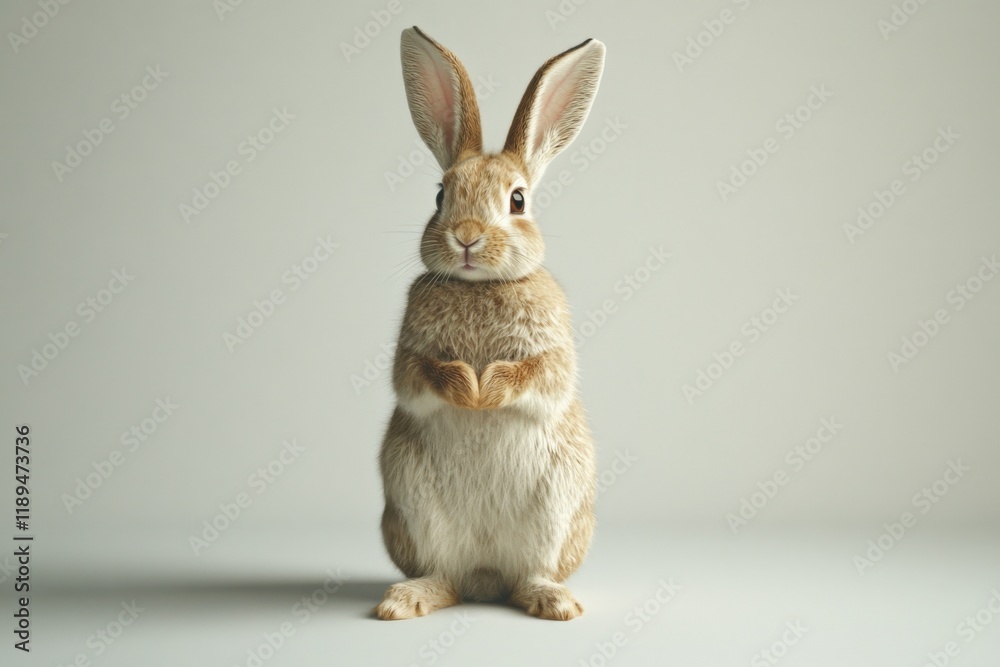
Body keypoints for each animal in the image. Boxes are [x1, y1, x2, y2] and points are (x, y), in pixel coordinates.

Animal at [376, 26, 605, 621]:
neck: (479, 286)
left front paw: (488, 391)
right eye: (440, 195)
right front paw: (467, 389)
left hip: (556, 507)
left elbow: (539, 375)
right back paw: (405, 600)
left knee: (528, 574)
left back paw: (553, 602)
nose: (467, 236)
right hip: (414, 504)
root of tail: (485, 579)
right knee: (443, 574)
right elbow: (419, 374)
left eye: (518, 200)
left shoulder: (553, 355)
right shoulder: (410, 355)